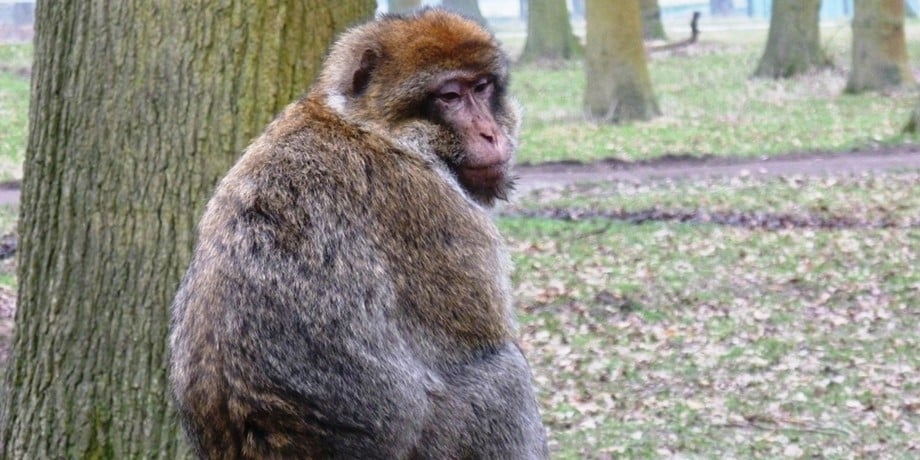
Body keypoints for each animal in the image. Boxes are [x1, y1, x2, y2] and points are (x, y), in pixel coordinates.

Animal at [167, 8, 548, 460]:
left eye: (481, 87)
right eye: (450, 96)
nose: (491, 133)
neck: (370, 127)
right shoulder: (432, 208)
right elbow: (485, 340)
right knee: (504, 375)